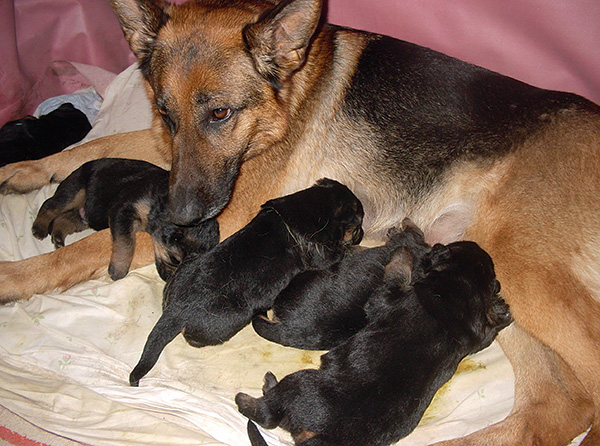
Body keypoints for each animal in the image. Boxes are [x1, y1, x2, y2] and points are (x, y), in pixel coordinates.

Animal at [31, 159, 219, 280]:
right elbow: (125, 243)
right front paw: (118, 271)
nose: (169, 278)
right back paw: (39, 228)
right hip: (75, 189)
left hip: (81, 217)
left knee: (64, 219)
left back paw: (57, 239)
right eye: (174, 259)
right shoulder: (123, 210)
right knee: (50, 205)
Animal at [129, 179, 364, 386]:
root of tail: (176, 310)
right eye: (358, 225)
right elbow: (339, 252)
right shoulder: (323, 255)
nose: (362, 234)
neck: (313, 206)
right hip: (228, 320)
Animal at [234, 237, 510, 446]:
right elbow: (486, 332)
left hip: (300, 384)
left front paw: (402, 252)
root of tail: (322, 437)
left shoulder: (386, 299)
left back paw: (253, 394)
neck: (456, 293)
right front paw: (500, 310)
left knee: (268, 413)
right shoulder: (474, 332)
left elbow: (397, 271)